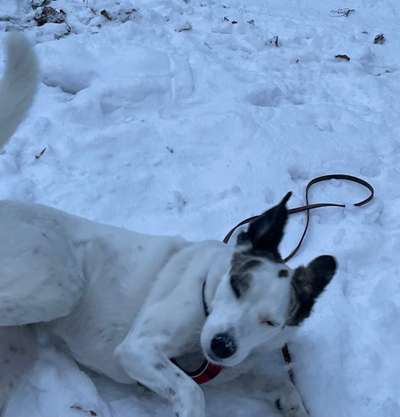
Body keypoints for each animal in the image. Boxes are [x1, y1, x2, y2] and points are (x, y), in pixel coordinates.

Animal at [0, 34, 336, 416]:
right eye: (237, 286)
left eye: (269, 322)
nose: (222, 345)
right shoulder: (139, 348)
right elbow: (192, 389)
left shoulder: (242, 363)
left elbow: (285, 387)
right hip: (56, 285)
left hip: (15, 350)